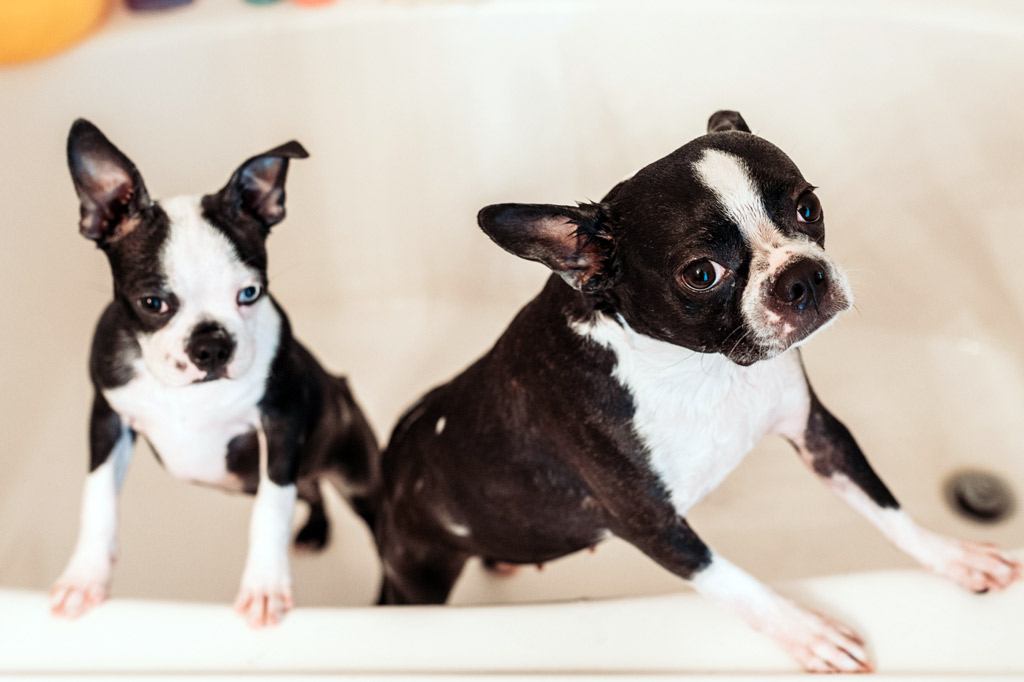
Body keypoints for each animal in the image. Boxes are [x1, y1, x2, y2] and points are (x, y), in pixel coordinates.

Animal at [51, 119, 380, 622]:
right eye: (153, 303)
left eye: (250, 293)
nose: (211, 347)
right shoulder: (107, 417)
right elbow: (99, 497)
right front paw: (84, 577)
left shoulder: (281, 422)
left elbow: (271, 508)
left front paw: (265, 586)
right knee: (310, 488)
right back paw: (315, 532)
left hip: (357, 471)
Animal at [378, 111, 1024, 667]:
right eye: (702, 273)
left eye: (808, 207)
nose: (803, 275)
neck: (700, 370)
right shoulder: (655, 527)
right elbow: (736, 584)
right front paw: (809, 633)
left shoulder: (818, 433)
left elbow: (887, 508)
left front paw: (956, 558)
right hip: (414, 572)